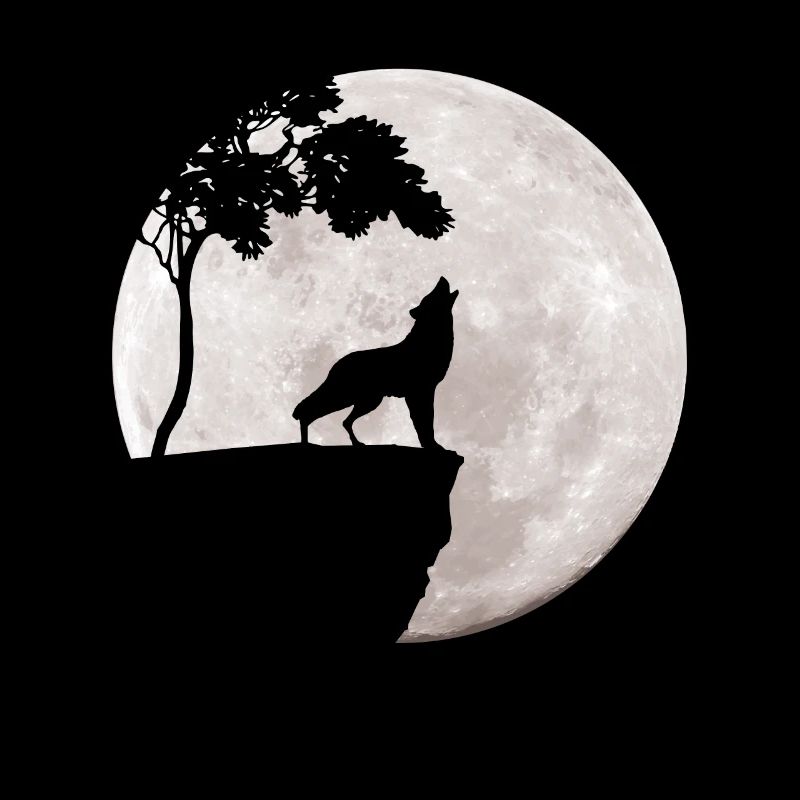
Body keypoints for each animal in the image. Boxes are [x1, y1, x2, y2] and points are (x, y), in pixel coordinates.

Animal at [292, 277, 459, 448]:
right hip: (345, 398)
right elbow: (424, 423)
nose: (442, 278)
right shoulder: (419, 392)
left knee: (345, 421)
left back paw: (356, 443)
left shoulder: (425, 391)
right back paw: (305, 443)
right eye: (431, 296)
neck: (428, 339)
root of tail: (336, 364)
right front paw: (432, 446)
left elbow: (426, 422)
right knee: (309, 411)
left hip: (368, 401)